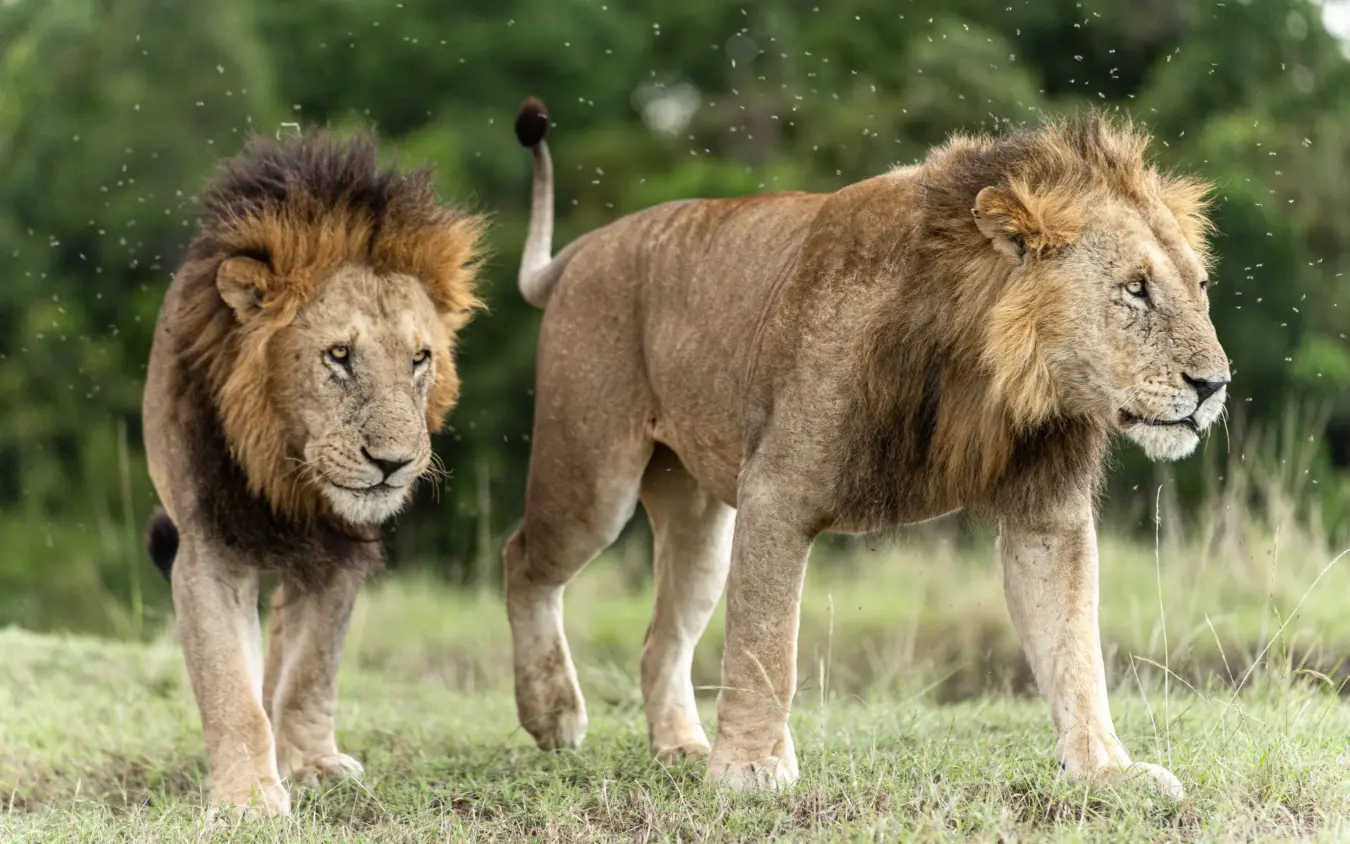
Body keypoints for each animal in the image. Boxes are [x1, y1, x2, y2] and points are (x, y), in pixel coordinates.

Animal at [141, 130, 483, 816]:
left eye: (420, 358)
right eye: (339, 355)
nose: (393, 462)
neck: (286, 467)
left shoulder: (342, 552)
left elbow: (309, 672)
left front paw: (312, 766)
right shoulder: (207, 550)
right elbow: (229, 685)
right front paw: (249, 798)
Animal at [504, 99, 1227, 799]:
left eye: (1199, 287)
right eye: (1135, 288)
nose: (1214, 385)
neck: (989, 375)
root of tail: (584, 249)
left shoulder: (1046, 513)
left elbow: (1074, 645)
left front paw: (1106, 772)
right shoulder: (777, 490)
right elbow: (766, 645)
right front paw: (749, 769)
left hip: (698, 520)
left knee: (659, 639)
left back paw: (680, 747)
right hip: (592, 483)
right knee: (522, 559)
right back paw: (553, 714)